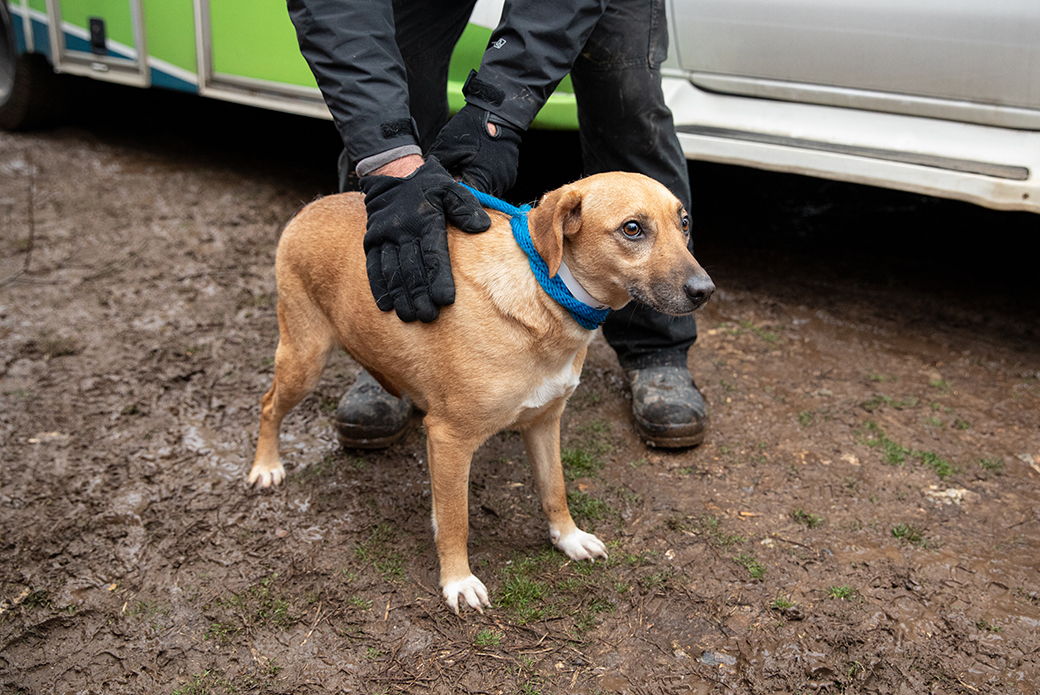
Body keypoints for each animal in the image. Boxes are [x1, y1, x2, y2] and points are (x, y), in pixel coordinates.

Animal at [247, 170, 715, 611]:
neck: (546, 295)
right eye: (633, 229)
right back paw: (265, 466)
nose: (704, 291)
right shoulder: (450, 440)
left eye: (684, 222)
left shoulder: (544, 422)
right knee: (268, 405)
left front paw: (568, 538)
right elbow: (457, 520)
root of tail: (313, 206)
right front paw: (457, 580)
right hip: (304, 361)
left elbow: (555, 490)